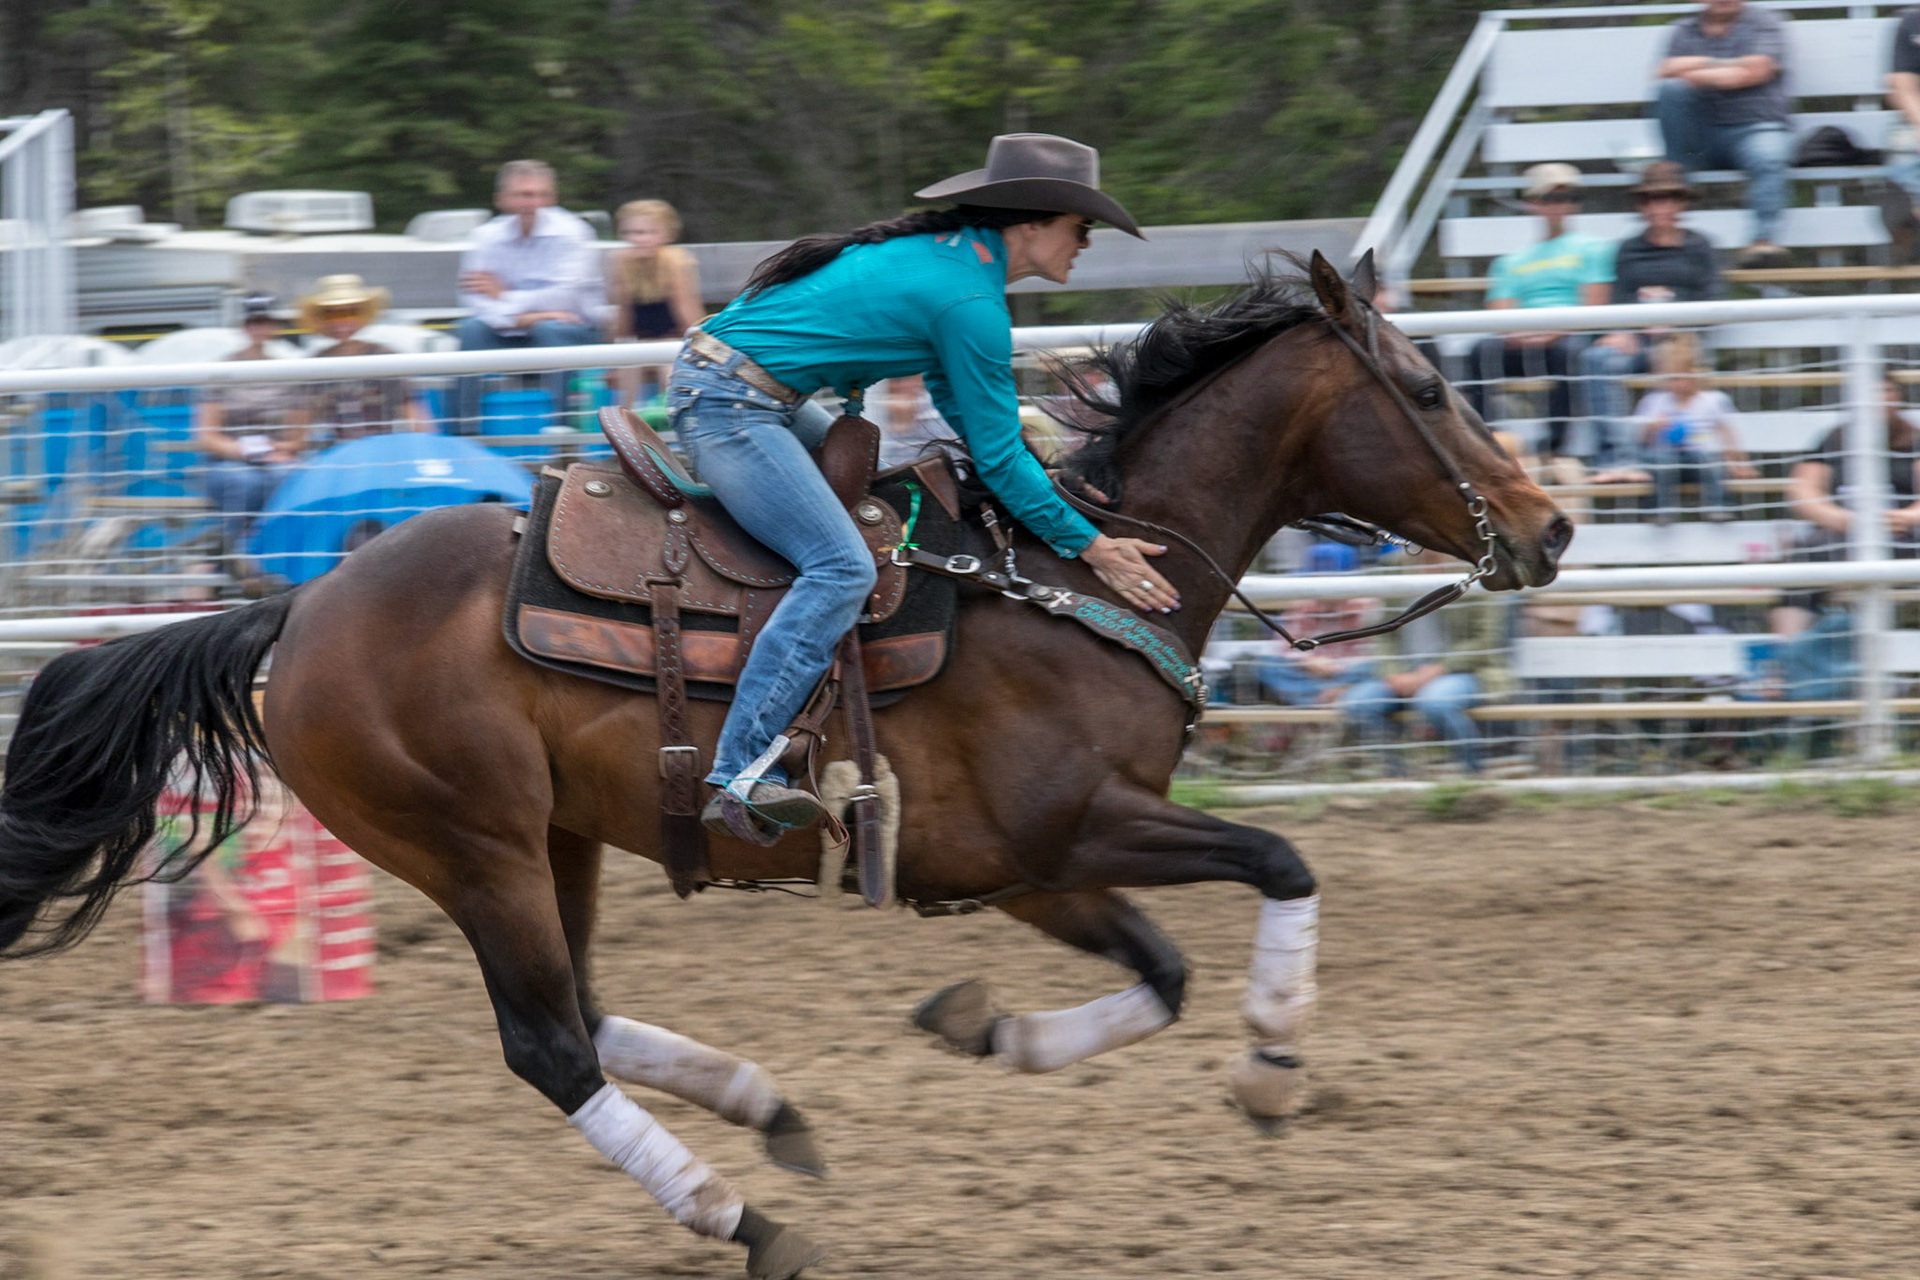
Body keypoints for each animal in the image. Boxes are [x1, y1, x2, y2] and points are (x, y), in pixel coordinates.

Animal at [0, 252, 1570, 1279]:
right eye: (1426, 385)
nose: (1553, 527)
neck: (1067, 580)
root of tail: (298, 609)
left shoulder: (1028, 868)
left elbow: (1163, 972)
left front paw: (985, 1030)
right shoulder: (1080, 827)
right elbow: (1279, 864)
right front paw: (1273, 1065)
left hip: (555, 839)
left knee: (585, 1009)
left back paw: (769, 1110)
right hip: (473, 844)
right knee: (550, 1043)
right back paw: (744, 1216)